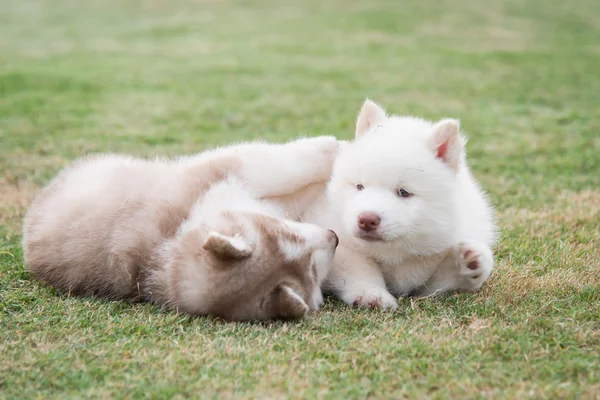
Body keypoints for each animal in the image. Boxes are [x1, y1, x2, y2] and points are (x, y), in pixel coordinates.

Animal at [304, 101, 496, 310]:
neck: (398, 253)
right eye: (359, 186)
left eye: (403, 192)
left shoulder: (430, 280)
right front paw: (371, 293)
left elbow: (443, 280)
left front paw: (472, 262)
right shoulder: (332, 233)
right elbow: (359, 265)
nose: (367, 220)